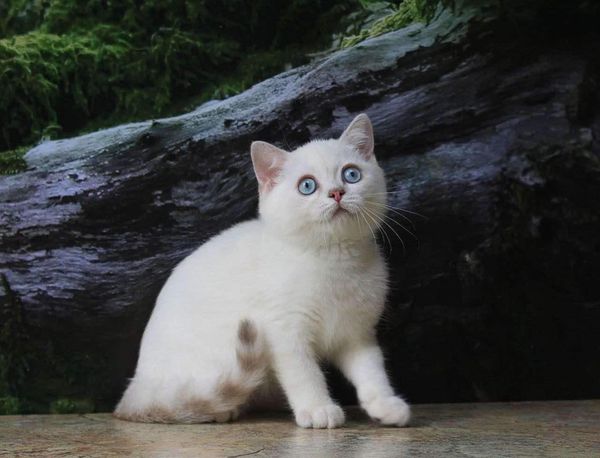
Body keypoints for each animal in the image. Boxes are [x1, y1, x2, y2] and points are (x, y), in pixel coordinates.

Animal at [115, 112, 410, 428]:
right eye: (307, 186)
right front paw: (318, 408)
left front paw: (385, 405)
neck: (334, 259)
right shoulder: (283, 331)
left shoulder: (357, 334)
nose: (337, 192)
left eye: (351, 174)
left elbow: (372, 371)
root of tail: (134, 390)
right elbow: (304, 373)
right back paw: (224, 410)